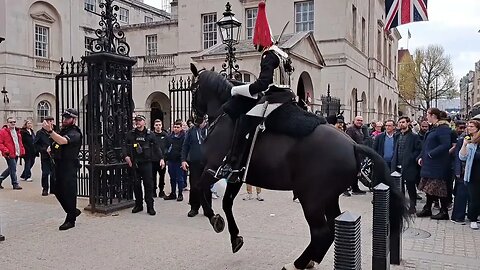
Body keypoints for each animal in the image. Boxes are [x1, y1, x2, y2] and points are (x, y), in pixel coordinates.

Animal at [189, 63, 406, 270]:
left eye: (193, 88)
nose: (196, 118)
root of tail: (352, 145)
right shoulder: (237, 175)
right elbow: (226, 203)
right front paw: (235, 237)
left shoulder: (214, 168)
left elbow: (200, 188)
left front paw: (214, 218)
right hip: (328, 197)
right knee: (332, 227)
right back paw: (310, 260)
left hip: (311, 198)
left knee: (321, 232)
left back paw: (297, 264)